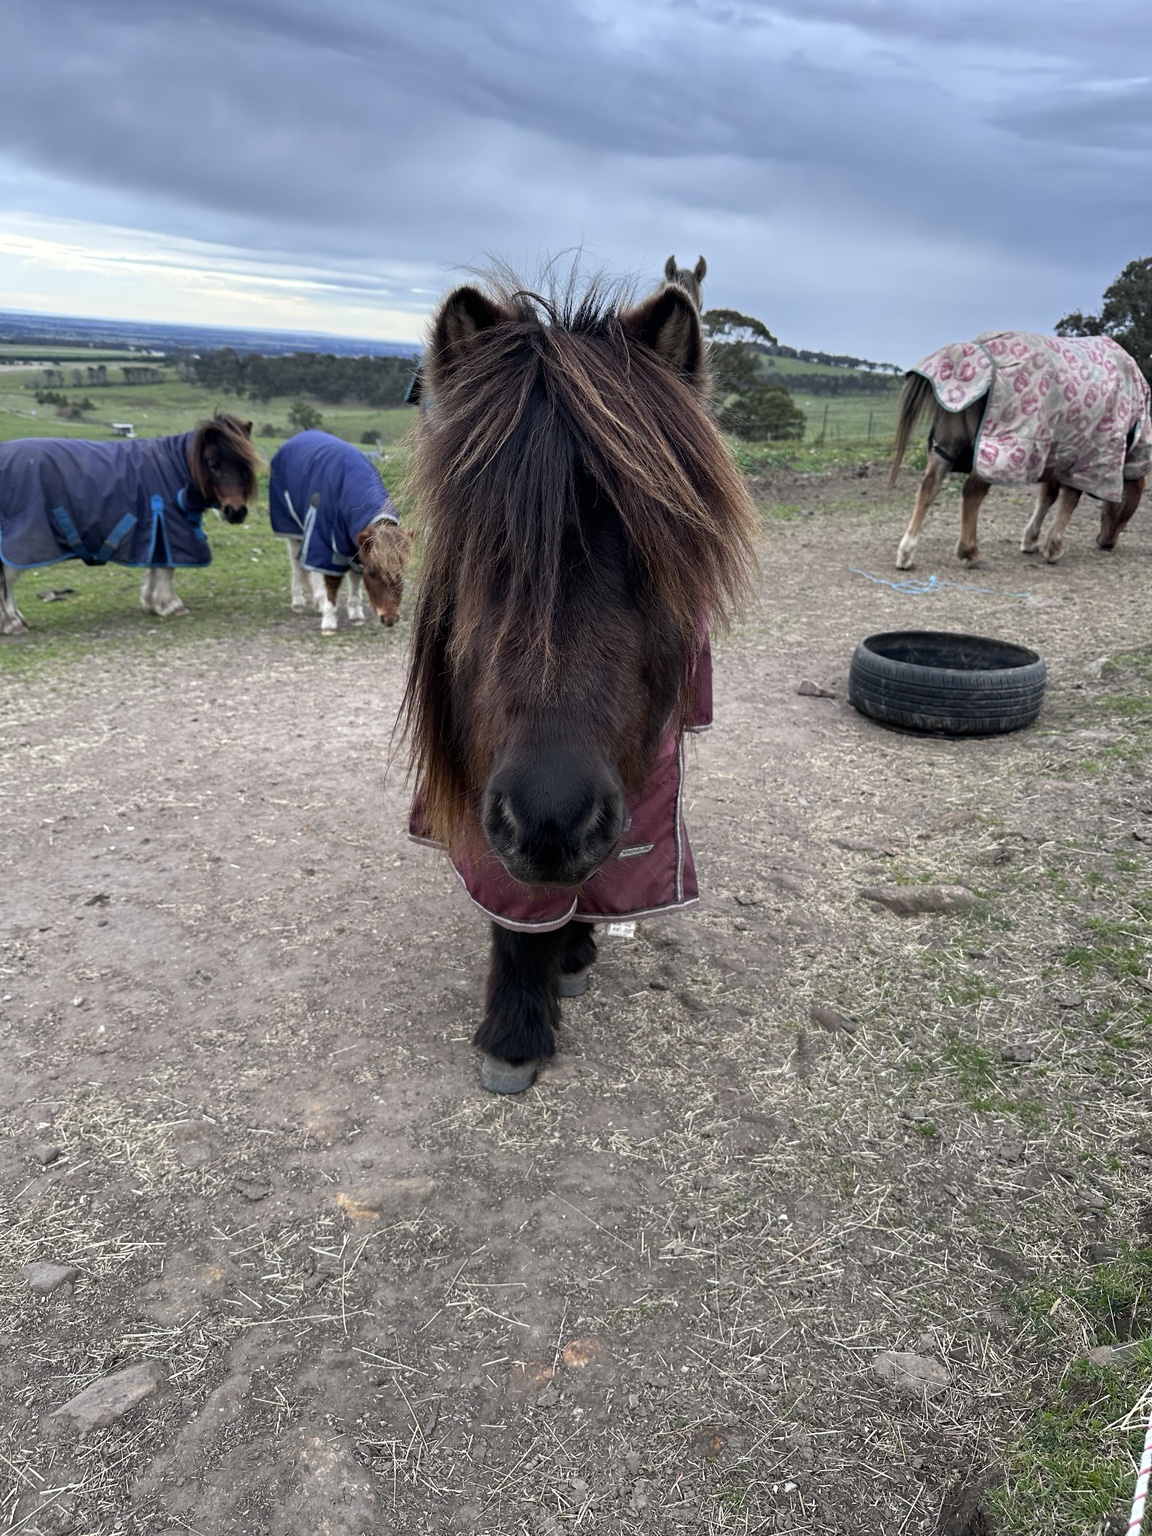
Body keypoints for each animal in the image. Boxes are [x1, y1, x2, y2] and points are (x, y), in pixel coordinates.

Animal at [0, 413, 261, 635]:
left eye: (245, 465)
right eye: (213, 464)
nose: (236, 512)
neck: (174, 467)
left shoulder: (156, 529)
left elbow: (157, 566)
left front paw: (154, 604)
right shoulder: (168, 524)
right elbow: (167, 569)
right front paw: (171, 605)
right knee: (8, 578)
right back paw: (12, 623)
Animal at [267, 429, 413, 634]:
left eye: (401, 573)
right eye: (372, 574)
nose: (390, 619)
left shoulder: (355, 548)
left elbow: (354, 580)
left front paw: (356, 614)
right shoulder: (326, 546)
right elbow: (331, 583)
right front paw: (329, 621)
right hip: (294, 532)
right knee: (297, 565)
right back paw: (299, 602)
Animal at [397, 272, 758, 1093]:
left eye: (657, 554)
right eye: (483, 551)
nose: (551, 817)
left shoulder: (646, 783)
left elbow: (606, 878)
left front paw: (569, 957)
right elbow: (520, 911)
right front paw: (516, 1028)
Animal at [889, 331, 1152, 569]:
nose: (1106, 543)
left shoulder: (1055, 456)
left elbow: (1048, 496)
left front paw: (1031, 540)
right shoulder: (1084, 461)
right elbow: (1069, 500)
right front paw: (1053, 547)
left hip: (947, 447)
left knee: (928, 488)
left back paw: (906, 553)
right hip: (993, 454)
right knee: (971, 491)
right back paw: (969, 551)